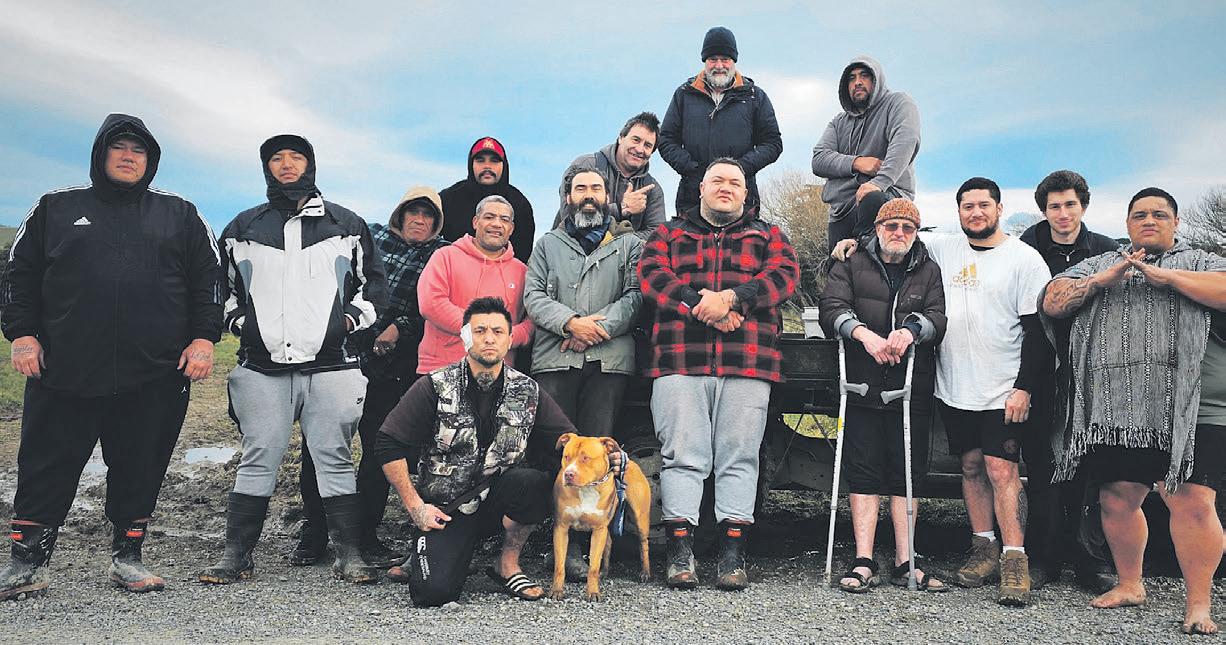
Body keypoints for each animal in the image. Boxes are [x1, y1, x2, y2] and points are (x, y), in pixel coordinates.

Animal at [549, 433, 651, 601]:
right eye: (566, 456)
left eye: (586, 458)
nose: (568, 474)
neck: (586, 489)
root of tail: (632, 462)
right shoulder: (561, 528)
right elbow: (559, 566)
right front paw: (557, 590)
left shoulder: (598, 530)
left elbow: (593, 567)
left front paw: (593, 592)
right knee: (609, 543)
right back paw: (605, 571)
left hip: (640, 519)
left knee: (643, 544)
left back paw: (645, 572)